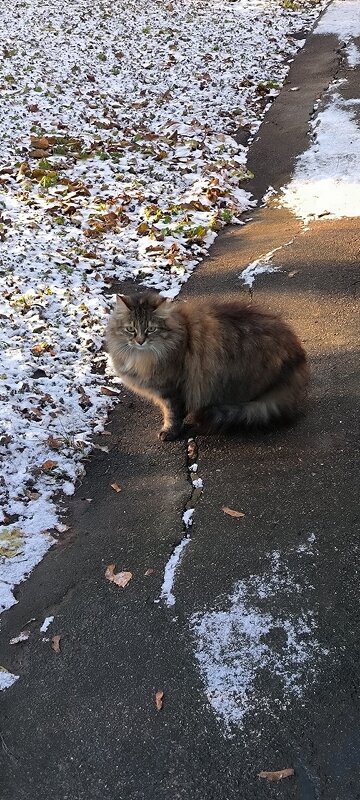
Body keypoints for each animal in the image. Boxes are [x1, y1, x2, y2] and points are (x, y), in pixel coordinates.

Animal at [105, 290, 310, 440]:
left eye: (151, 329)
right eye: (131, 329)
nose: (140, 341)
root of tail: (297, 359)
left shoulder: (172, 390)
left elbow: (172, 414)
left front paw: (169, 432)